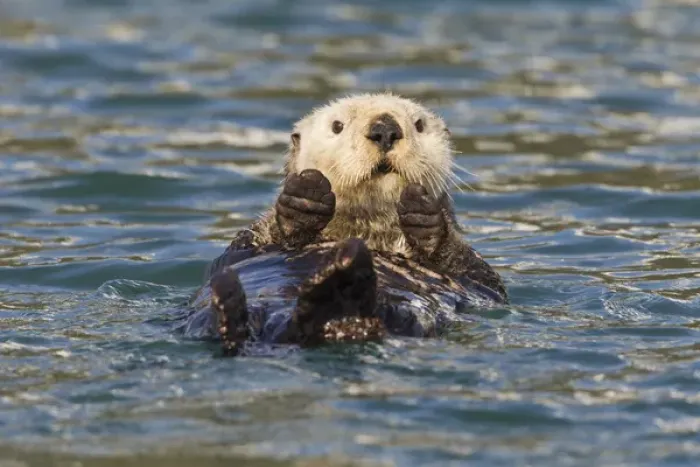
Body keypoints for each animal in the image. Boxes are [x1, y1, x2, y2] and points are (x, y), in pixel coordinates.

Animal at [185, 93, 507, 356]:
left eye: (419, 124)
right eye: (337, 126)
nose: (385, 129)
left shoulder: (479, 281)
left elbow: (479, 274)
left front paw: (423, 213)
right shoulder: (247, 244)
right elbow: (245, 248)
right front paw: (305, 198)